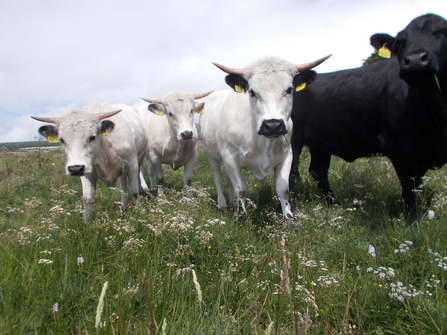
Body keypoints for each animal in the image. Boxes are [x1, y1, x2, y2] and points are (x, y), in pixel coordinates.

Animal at [201, 55, 330, 220]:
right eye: (252, 92)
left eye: (289, 90)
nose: (273, 125)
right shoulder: (230, 156)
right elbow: (241, 189)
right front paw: (242, 217)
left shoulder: (287, 155)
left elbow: (283, 189)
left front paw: (289, 219)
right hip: (212, 154)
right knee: (217, 177)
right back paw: (223, 204)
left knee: (229, 181)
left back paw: (232, 202)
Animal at [290, 13, 447, 219]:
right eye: (400, 42)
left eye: (443, 32)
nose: (414, 60)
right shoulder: (400, 149)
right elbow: (412, 190)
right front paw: (412, 221)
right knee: (291, 174)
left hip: (320, 142)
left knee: (318, 171)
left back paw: (334, 204)